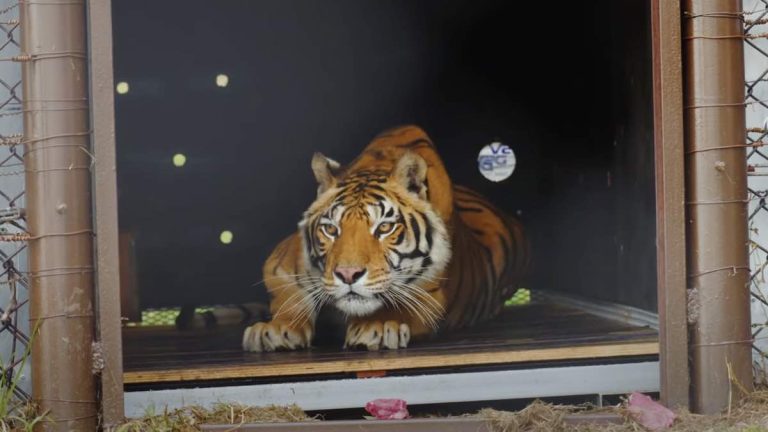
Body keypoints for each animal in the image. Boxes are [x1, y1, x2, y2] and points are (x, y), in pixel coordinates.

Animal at [242, 125, 527, 352]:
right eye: (331, 230)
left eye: (385, 227)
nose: (348, 275)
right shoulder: (280, 263)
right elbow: (289, 296)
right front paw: (276, 329)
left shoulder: (430, 294)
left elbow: (401, 305)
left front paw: (375, 326)